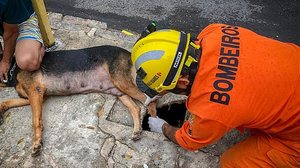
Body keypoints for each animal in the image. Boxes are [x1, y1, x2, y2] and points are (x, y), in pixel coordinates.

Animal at [0, 45, 157, 157]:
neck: (14, 70)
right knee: (136, 107)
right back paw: (137, 130)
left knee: (151, 99)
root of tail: (129, 53)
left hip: (122, 82)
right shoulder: (37, 97)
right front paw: (1, 109)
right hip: (118, 89)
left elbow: (35, 121)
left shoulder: (35, 92)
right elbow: (6, 102)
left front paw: (37, 144)